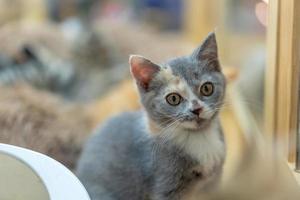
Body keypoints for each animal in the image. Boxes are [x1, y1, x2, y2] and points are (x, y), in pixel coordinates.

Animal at [76, 32, 226, 200]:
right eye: (173, 99)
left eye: (207, 88)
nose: (196, 109)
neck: (199, 137)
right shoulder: (164, 184)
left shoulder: (214, 183)